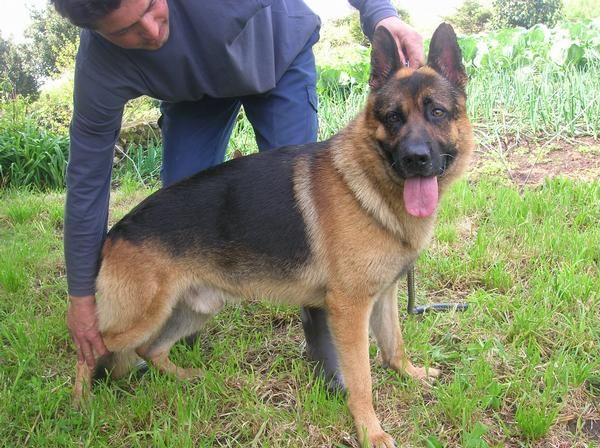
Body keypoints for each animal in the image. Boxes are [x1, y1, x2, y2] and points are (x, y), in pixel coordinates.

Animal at [71, 24, 474, 448]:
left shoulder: (384, 294)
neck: (369, 185)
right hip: (143, 315)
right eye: (393, 117)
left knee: (150, 349)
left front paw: (411, 375)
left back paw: (185, 377)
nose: (416, 159)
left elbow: (395, 344)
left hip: (194, 309)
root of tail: (116, 231)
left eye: (436, 112)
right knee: (90, 348)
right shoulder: (350, 308)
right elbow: (361, 379)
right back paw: (81, 405)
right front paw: (371, 431)